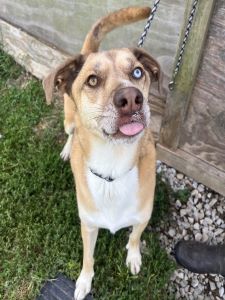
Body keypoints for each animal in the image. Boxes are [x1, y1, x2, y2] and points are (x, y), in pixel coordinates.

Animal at [43, 6, 161, 300]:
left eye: (138, 73)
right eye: (92, 80)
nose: (131, 99)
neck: (113, 167)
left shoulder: (143, 217)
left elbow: (134, 237)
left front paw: (133, 256)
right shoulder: (88, 225)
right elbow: (88, 258)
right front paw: (84, 281)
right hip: (68, 119)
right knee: (71, 131)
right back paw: (68, 149)